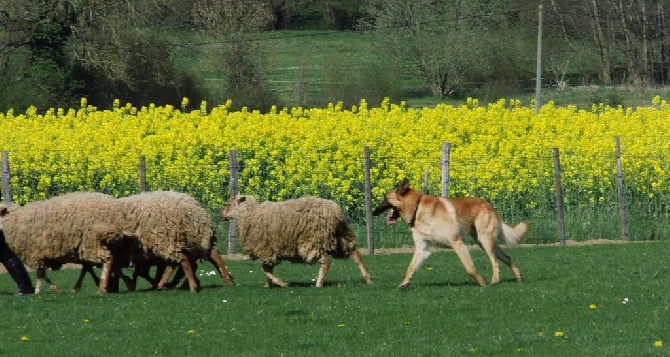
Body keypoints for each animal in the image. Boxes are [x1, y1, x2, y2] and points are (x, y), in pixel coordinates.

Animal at [0, 191, 133, 294]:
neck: (15, 220)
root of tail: (117, 214)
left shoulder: (36, 252)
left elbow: (40, 273)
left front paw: (41, 290)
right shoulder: (41, 253)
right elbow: (41, 273)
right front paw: (48, 290)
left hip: (93, 241)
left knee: (107, 260)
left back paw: (101, 288)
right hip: (104, 242)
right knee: (112, 261)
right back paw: (123, 283)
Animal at [223, 193, 376, 288]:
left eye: (228, 204)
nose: (221, 215)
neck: (249, 214)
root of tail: (335, 213)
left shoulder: (265, 249)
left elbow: (265, 269)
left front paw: (281, 283)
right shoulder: (271, 250)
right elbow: (268, 269)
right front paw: (268, 285)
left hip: (313, 240)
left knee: (326, 261)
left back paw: (319, 283)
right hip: (341, 237)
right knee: (355, 254)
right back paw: (368, 278)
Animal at [376, 177, 528, 288]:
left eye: (385, 198)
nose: (373, 212)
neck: (418, 208)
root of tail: (488, 204)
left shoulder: (457, 243)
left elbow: (469, 268)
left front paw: (481, 282)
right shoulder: (422, 248)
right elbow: (411, 267)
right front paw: (404, 284)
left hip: (485, 240)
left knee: (495, 261)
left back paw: (494, 280)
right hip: (482, 242)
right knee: (506, 257)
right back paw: (518, 277)